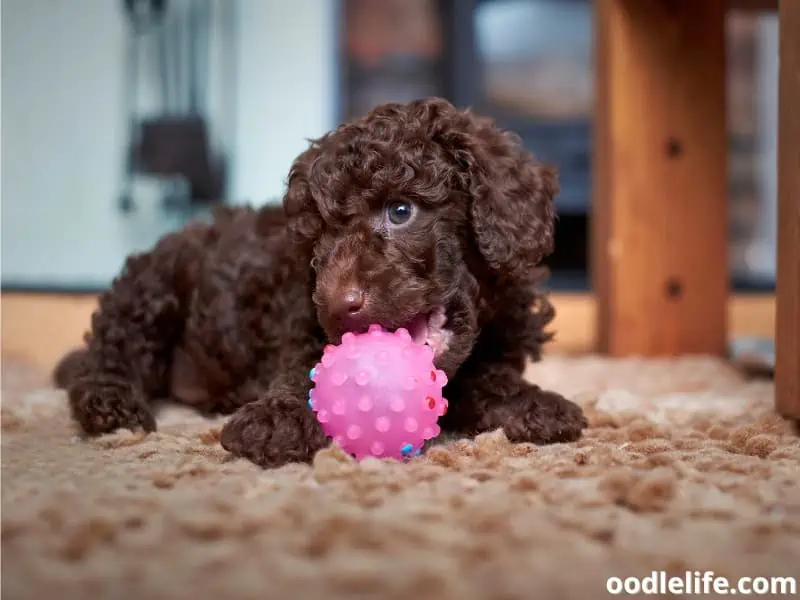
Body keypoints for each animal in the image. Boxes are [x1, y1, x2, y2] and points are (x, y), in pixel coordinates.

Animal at [53, 97, 584, 468]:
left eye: (401, 211)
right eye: (318, 236)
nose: (336, 306)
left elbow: (491, 378)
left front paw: (536, 404)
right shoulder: (299, 325)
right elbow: (305, 373)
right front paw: (277, 420)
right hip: (154, 288)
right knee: (113, 352)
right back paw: (111, 403)